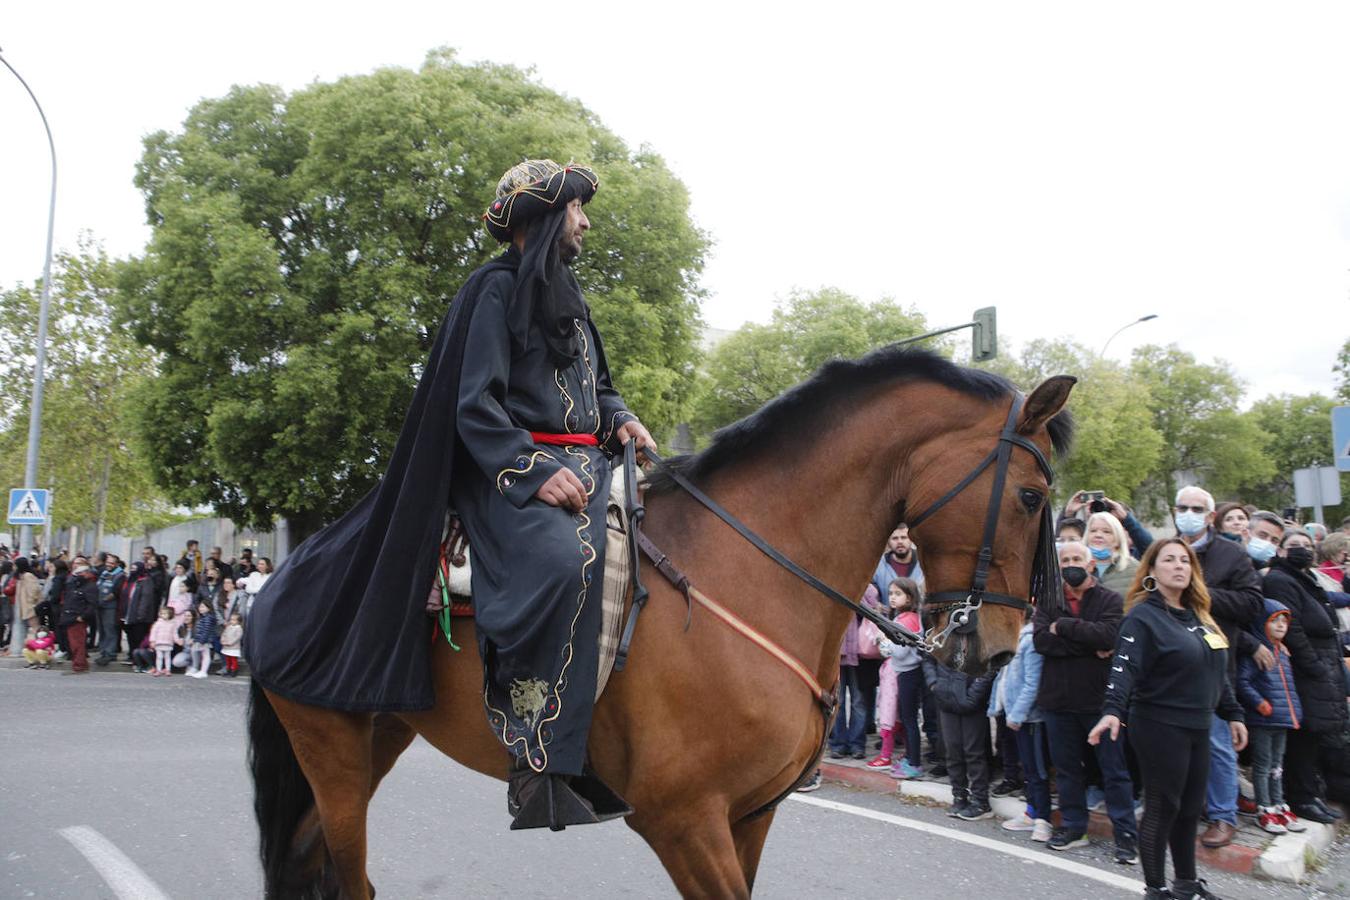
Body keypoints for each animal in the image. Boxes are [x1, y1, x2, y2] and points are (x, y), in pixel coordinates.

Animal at [251, 348, 1074, 895]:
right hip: (331, 748)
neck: (750, 572)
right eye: (1031, 496)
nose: (995, 652)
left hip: (376, 736)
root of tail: (280, 573)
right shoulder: (682, 820)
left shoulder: (748, 817)